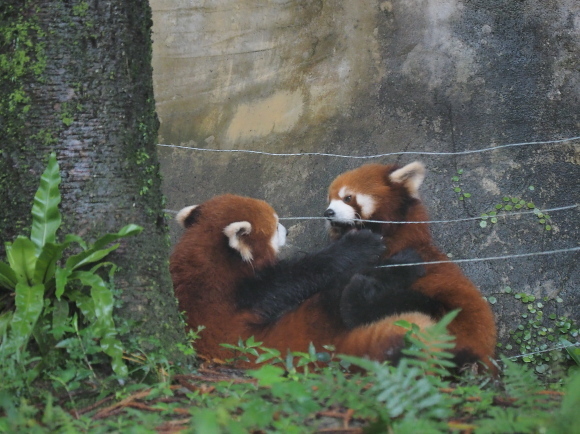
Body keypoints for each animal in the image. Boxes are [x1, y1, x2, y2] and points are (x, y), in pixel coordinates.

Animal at [169, 193, 436, 366]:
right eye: (277, 225)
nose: (287, 230)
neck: (206, 255)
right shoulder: (237, 293)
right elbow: (300, 275)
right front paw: (359, 244)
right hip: (299, 328)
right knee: (341, 297)